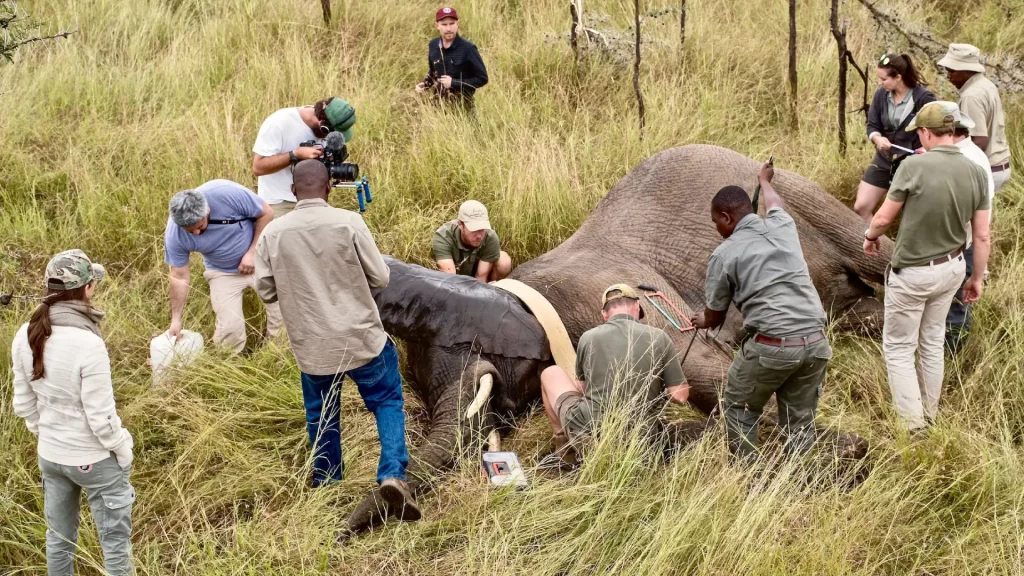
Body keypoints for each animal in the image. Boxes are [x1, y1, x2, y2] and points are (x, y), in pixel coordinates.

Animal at [344, 144, 892, 534]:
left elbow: (712, 379)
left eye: (485, 371)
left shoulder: (643, 309)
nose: (395, 500)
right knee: (858, 311)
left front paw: (850, 452)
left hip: (809, 198)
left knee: (873, 251)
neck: (531, 293)